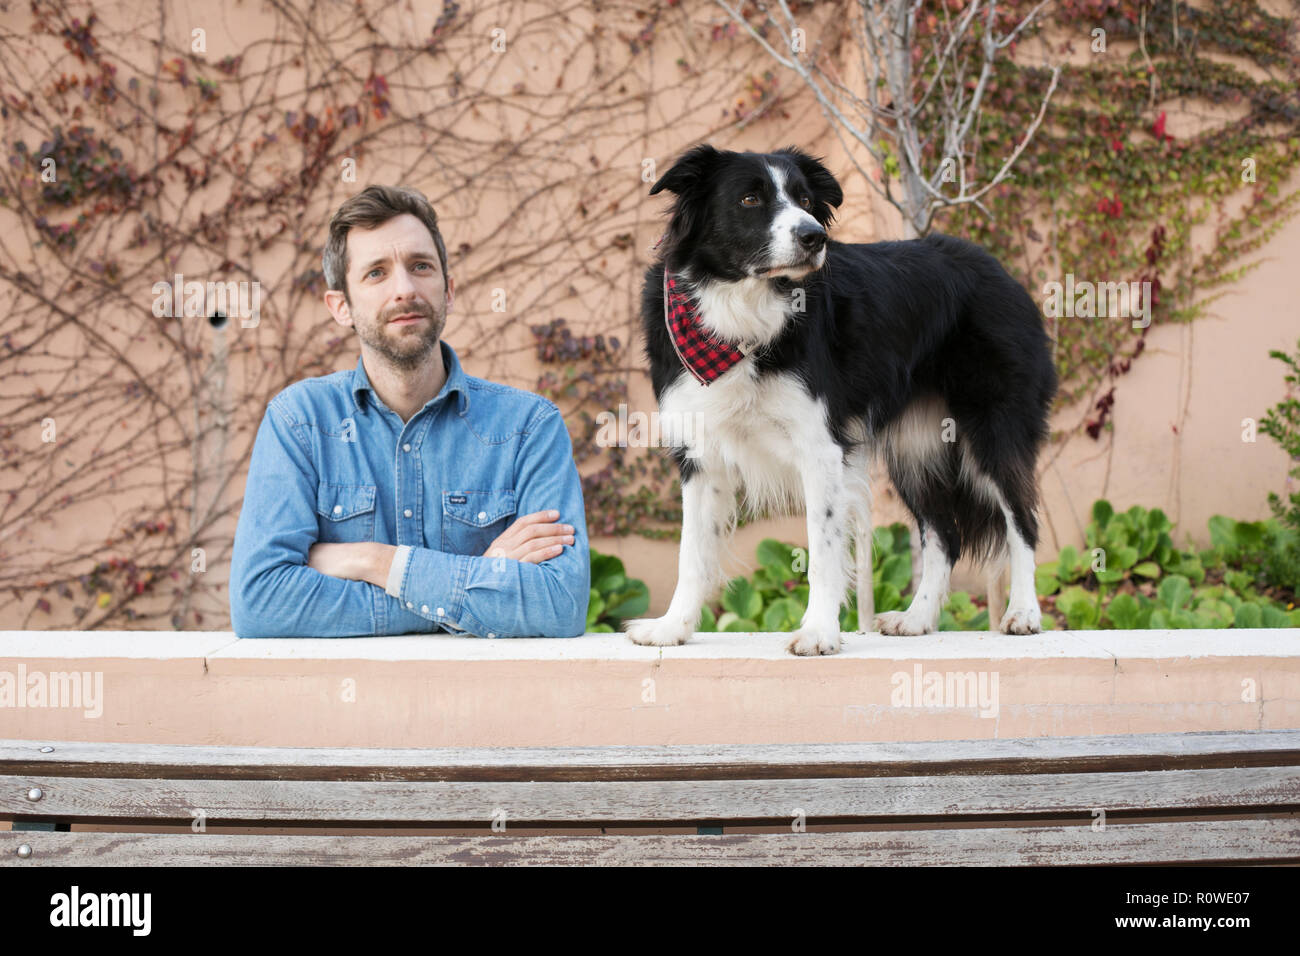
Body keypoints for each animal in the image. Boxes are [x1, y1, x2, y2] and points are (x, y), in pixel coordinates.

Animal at [624, 143, 1060, 658]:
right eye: (750, 199)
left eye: (805, 200)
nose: (814, 237)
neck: (742, 309)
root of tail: (1001, 271)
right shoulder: (700, 453)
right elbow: (691, 550)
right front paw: (672, 628)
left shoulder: (821, 447)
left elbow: (823, 550)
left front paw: (818, 632)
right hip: (916, 447)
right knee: (945, 534)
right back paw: (918, 619)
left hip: (994, 427)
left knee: (1022, 520)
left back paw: (1024, 613)